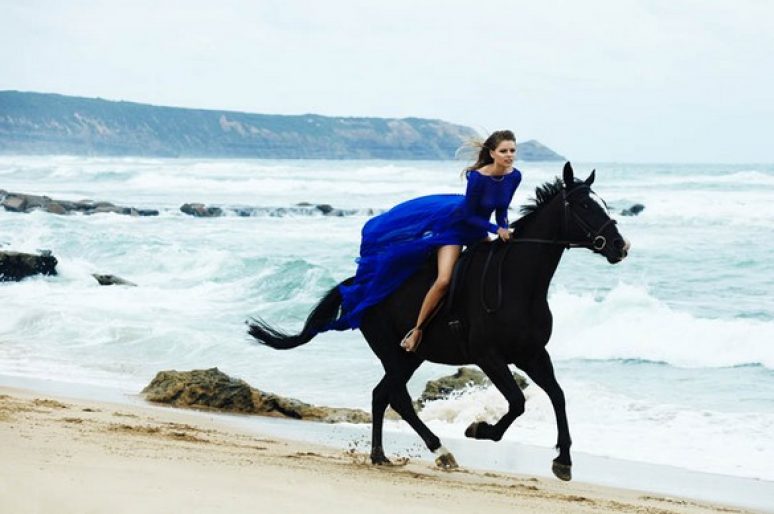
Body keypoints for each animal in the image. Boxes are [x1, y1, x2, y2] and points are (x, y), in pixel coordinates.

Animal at [249, 162, 632, 478]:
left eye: (602, 203)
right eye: (584, 206)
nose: (620, 245)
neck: (518, 284)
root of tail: (355, 284)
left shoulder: (532, 354)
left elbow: (557, 395)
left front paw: (563, 460)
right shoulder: (489, 356)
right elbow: (518, 402)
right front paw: (479, 429)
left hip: (410, 357)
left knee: (381, 395)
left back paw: (381, 455)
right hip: (394, 352)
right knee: (397, 398)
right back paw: (441, 451)